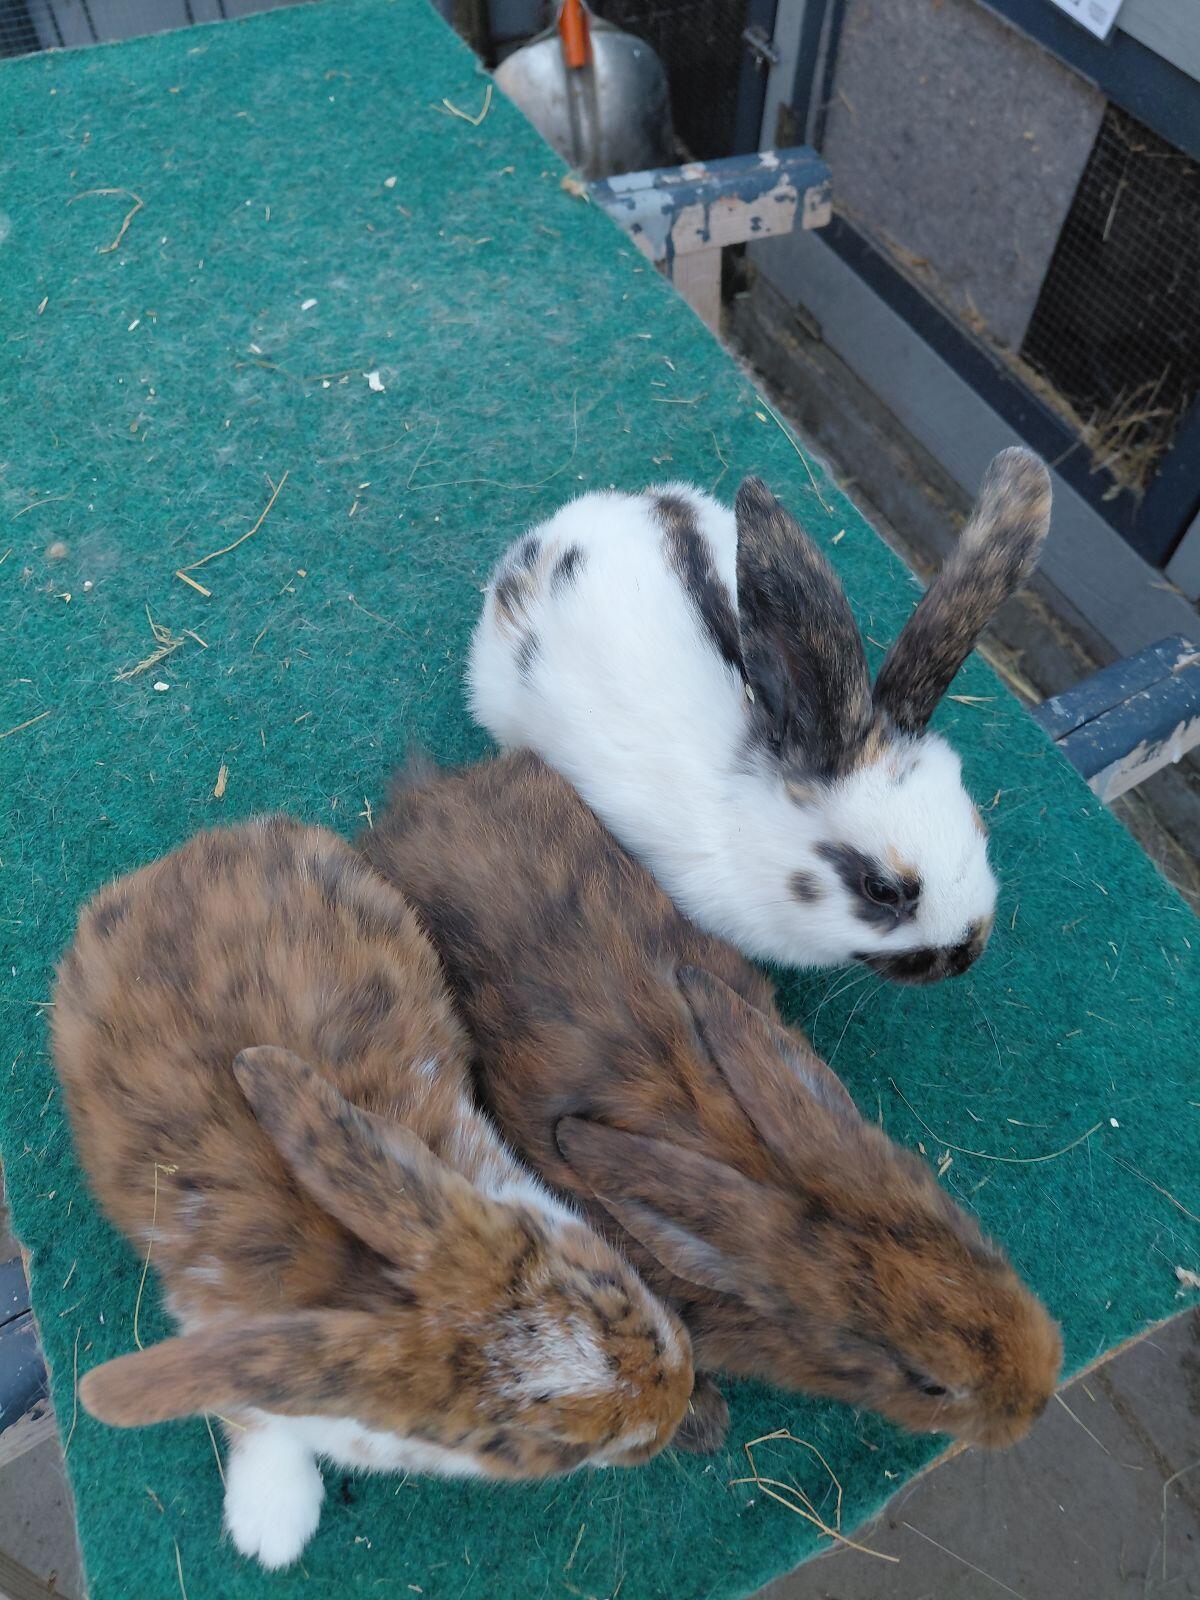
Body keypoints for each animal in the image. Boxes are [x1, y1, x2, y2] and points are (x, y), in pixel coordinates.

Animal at [51, 817, 694, 1571]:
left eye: (610, 1288)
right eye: (530, 1446)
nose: (680, 1395)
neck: (367, 1285)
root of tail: (171, 866)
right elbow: (246, 1410)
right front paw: (272, 1530)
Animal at [361, 752, 1063, 1453]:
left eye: (980, 1246)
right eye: (929, 1384)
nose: (1037, 1401)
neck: (775, 1181)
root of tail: (424, 798)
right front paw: (705, 1423)